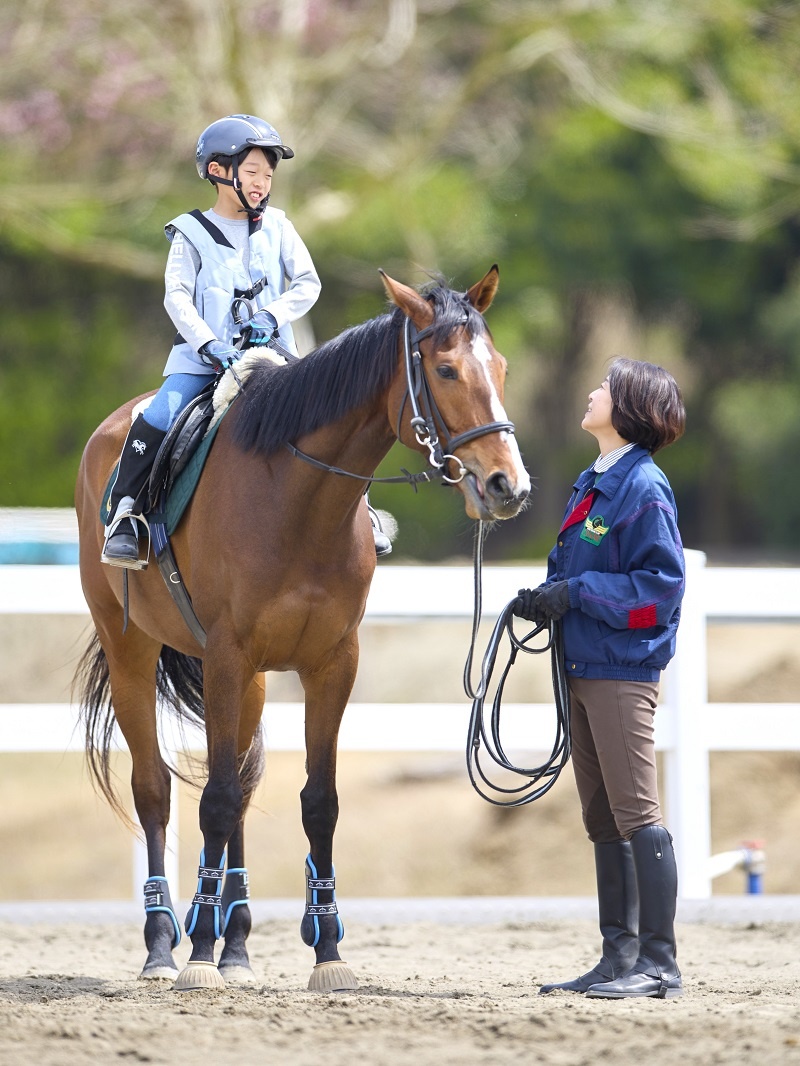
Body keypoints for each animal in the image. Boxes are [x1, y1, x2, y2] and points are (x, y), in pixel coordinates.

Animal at [72, 266, 529, 989]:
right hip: (132, 653)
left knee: (239, 784)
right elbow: (213, 798)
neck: (298, 499)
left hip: (252, 681)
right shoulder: (226, 655)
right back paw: (164, 945)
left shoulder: (330, 663)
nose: (507, 485)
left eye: (502, 368)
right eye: (446, 369)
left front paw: (328, 950)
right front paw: (197, 955)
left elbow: (315, 802)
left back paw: (235, 942)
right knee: (155, 790)